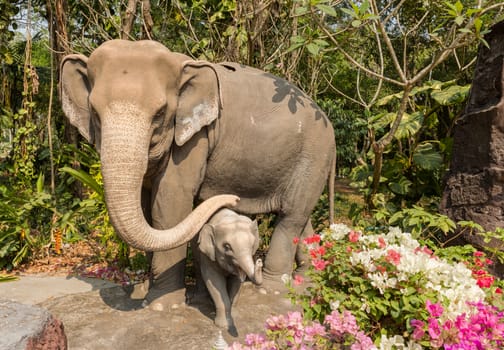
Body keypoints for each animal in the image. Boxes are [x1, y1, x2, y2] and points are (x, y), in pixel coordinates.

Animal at [61, 39, 336, 310]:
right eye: (95, 113)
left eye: (160, 113)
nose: (233, 198)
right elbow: (146, 206)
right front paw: (146, 291)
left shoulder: (195, 140)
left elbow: (170, 203)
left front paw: (162, 305)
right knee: (301, 216)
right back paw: (307, 280)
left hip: (314, 156)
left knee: (291, 215)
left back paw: (272, 290)